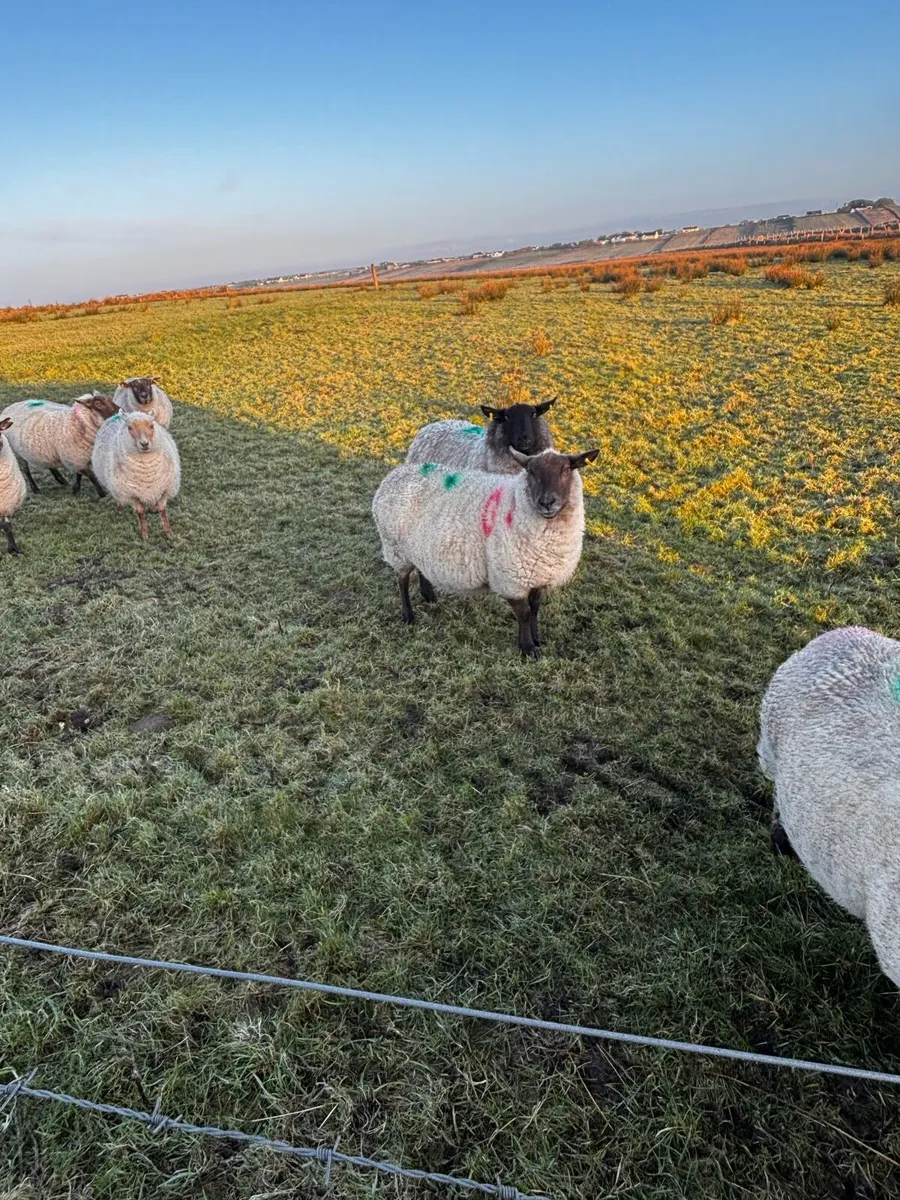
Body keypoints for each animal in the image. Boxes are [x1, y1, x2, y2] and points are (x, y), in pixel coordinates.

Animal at [92, 410, 181, 541]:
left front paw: (168, 533)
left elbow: (162, 510)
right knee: (119, 499)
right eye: (130, 428)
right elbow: (140, 512)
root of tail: (125, 414)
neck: (147, 472)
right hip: (116, 487)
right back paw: (119, 512)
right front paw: (145, 534)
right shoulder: (131, 495)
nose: (144, 444)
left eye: (151, 426)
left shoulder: (165, 489)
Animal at [372, 446, 598, 658]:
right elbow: (524, 614)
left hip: (418, 546)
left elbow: (535, 608)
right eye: (531, 471)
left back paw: (428, 594)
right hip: (396, 548)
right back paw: (408, 615)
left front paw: (536, 639)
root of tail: (394, 474)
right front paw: (527, 648)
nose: (547, 502)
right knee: (402, 580)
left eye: (566, 469)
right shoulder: (510, 579)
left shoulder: (537, 575)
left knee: (420, 567)